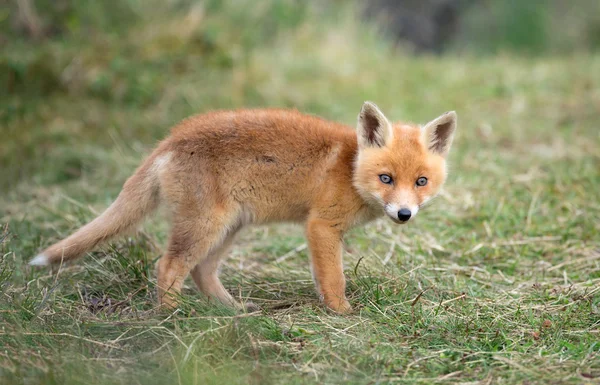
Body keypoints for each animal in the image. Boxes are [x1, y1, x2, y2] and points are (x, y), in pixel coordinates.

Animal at [29, 101, 454, 312]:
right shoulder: (320, 226)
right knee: (168, 267)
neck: (349, 169)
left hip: (230, 227)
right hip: (205, 226)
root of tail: (171, 139)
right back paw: (171, 318)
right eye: (386, 179)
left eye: (421, 182)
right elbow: (333, 279)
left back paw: (231, 310)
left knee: (201, 272)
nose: (404, 214)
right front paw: (341, 313)